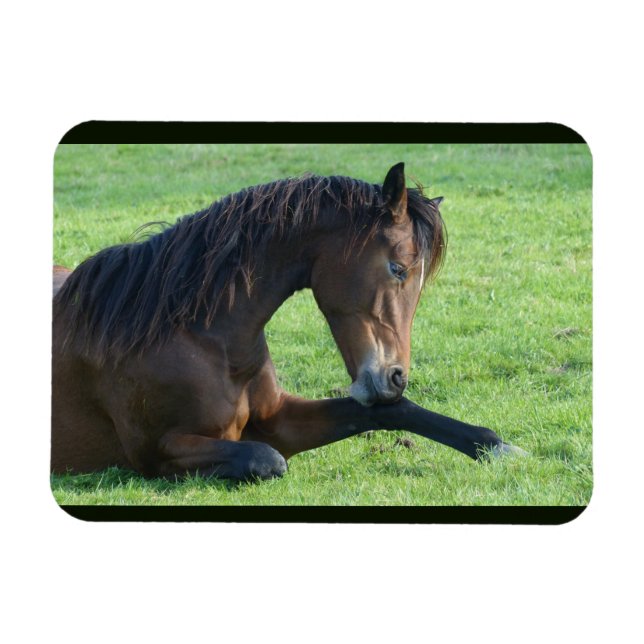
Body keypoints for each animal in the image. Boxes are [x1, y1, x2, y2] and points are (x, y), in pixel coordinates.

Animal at [52, 162, 524, 481]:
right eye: (398, 268)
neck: (199, 336)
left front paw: (498, 446)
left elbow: (392, 412)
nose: (395, 377)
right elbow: (266, 458)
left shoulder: (279, 418)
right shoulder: (157, 451)